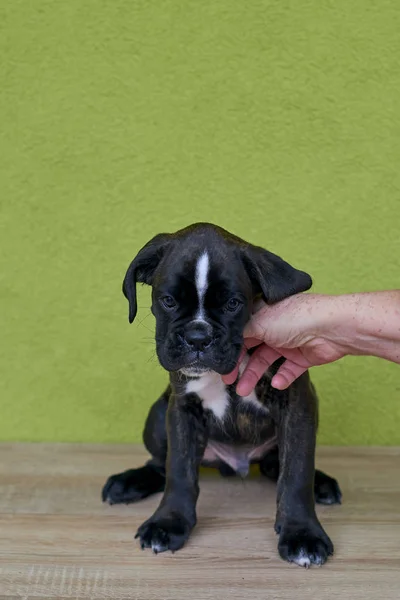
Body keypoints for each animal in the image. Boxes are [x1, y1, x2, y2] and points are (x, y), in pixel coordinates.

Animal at [103, 224, 340, 568]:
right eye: (168, 301)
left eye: (233, 304)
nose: (197, 337)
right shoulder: (182, 410)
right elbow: (179, 470)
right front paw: (168, 522)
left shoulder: (296, 404)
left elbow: (297, 471)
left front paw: (302, 533)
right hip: (157, 417)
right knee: (159, 464)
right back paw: (129, 482)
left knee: (277, 464)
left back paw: (320, 484)